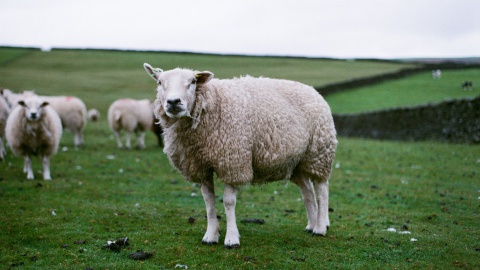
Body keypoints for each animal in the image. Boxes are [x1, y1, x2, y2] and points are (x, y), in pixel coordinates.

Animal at [144, 63, 336, 249]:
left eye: (192, 82)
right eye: (160, 82)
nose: (173, 102)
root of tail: (313, 91)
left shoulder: (232, 161)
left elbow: (229, 202)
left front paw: (231, 239)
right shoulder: (200, 166)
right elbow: (208, 201)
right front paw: (210, 236)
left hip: (319, 154)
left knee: (321, 190)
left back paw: (320, 227)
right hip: (296, 162)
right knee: (308, 192)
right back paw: (311, 225)